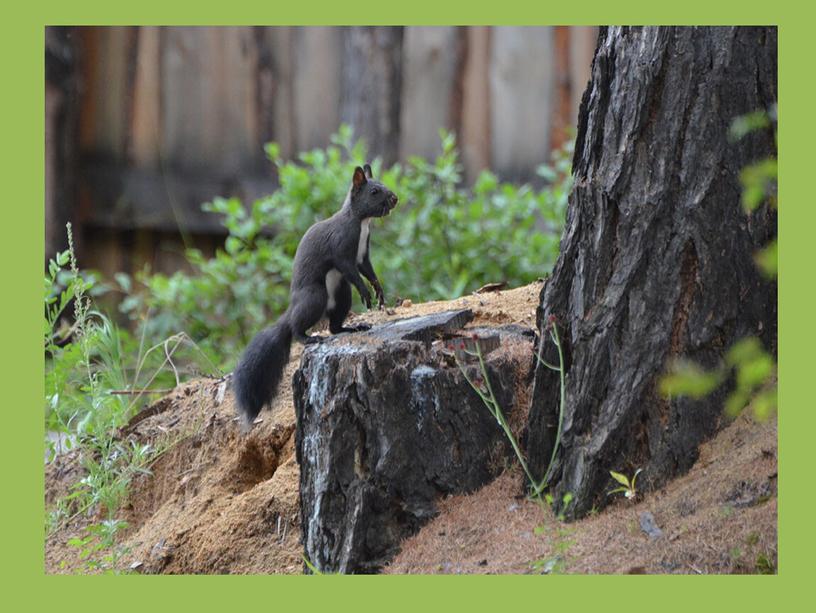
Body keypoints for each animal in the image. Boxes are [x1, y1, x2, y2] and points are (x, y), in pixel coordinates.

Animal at [233, 165, 398, 428]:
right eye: (374, 191)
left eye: (382, 184)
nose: (395, 199)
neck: (361, 223)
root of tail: (293, 305)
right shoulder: (342, 250)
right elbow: (352, 271)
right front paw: (365, 292)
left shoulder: (363, 254)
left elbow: (368, 271)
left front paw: (378, 290)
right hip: (315, 296)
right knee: (296, 327)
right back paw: (308, 337)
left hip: (341, 296)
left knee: (334, 326)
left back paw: (352, 327)